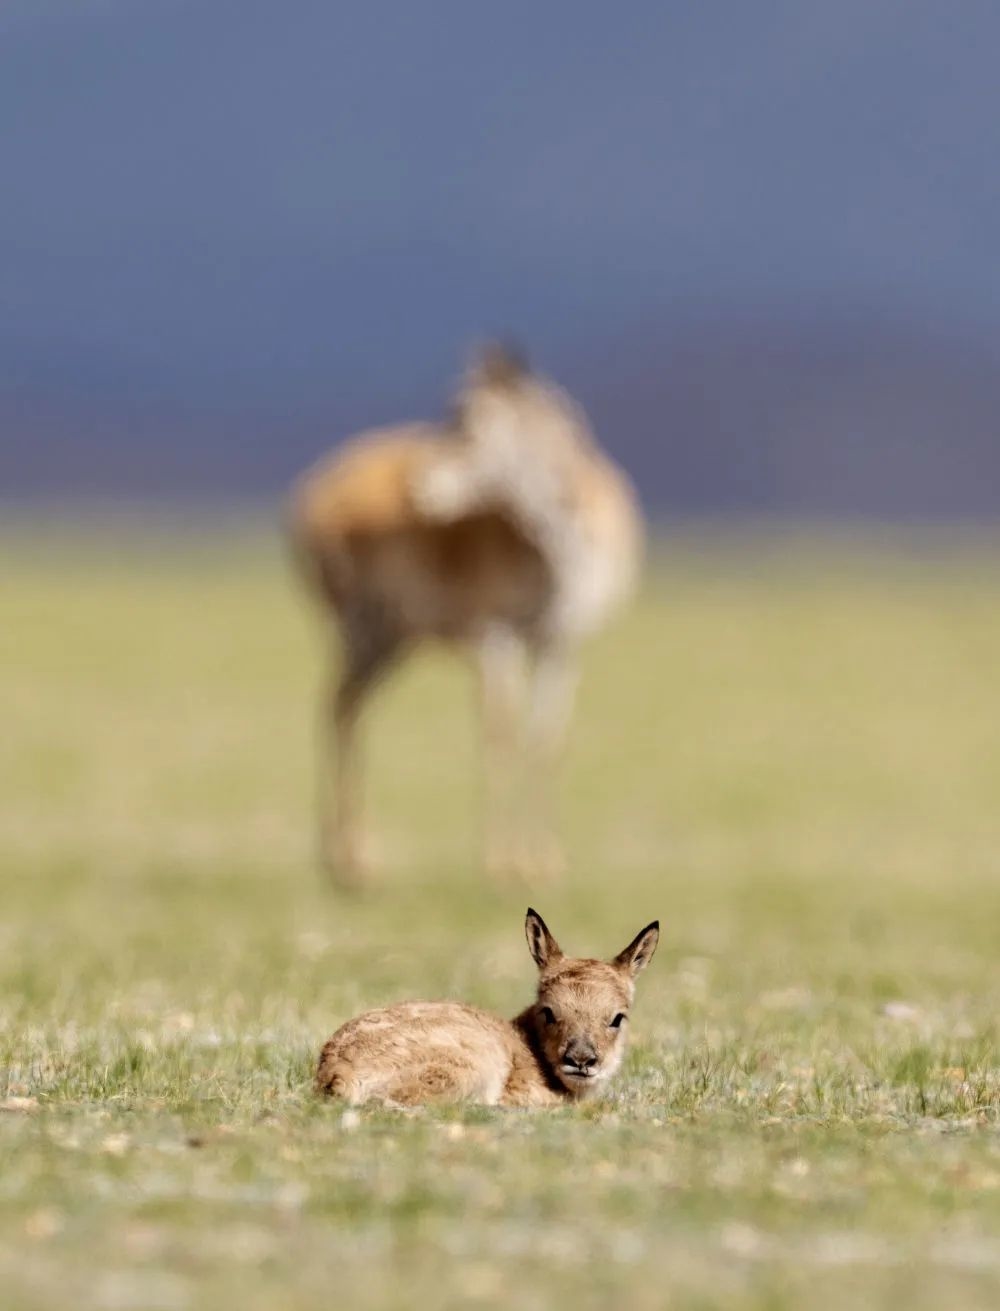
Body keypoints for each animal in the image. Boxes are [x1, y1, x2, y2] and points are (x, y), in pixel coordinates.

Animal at [287, 343, 642, 886]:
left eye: (465, 423)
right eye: (451, 414)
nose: (417, 486)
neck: (558, 549)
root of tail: (314, 491)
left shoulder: (560, 644)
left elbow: (546, 740)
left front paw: (547, 861)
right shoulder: (496, 636)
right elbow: (500, 733)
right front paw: (502, 863)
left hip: (395, 639)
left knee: (345, 706)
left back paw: (348, 857)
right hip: (365, 629)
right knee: (340, 707)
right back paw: (353, 859)